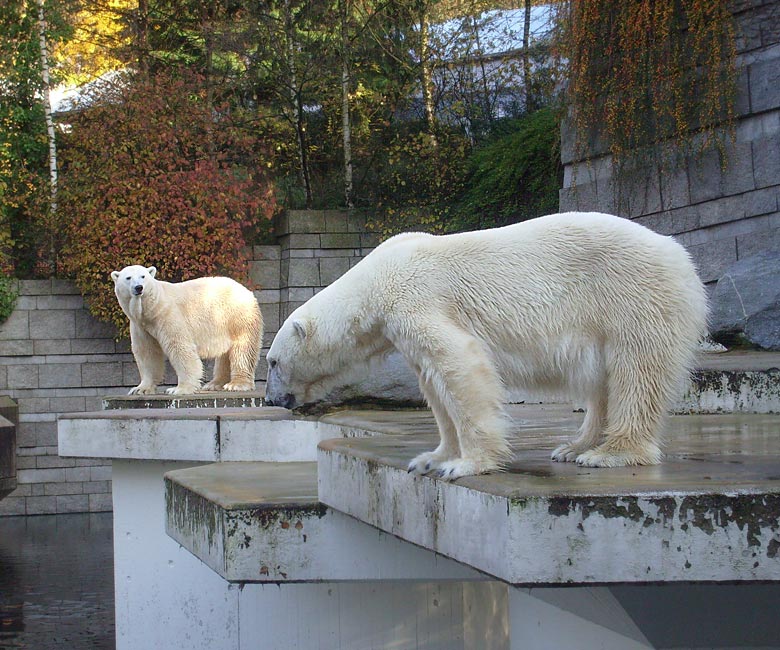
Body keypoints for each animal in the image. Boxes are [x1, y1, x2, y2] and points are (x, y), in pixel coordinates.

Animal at [112, 264, 266, 394]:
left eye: (143, 276)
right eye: (128, 278)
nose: (139, 287)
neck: (151, 308)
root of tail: (245, 290)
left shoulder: (167, 315)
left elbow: (179, 347)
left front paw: (178, 389)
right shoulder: (140, 325)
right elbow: (147, 352)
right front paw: (140, 389)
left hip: (237, 317)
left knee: (242, 349)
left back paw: (237, 384)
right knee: (225, 354)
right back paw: (214, 384)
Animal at [266, 211, 708, 476]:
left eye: (271, 362)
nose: (271, 399)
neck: (377, 279)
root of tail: (681, 255)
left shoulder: (418, 301)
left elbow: (459, 365)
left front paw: (466, 464)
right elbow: (433, 383)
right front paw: (432, 457)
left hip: (632, 297)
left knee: (637, 372)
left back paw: (610, 453)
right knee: (602, 382)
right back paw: (572, 446)